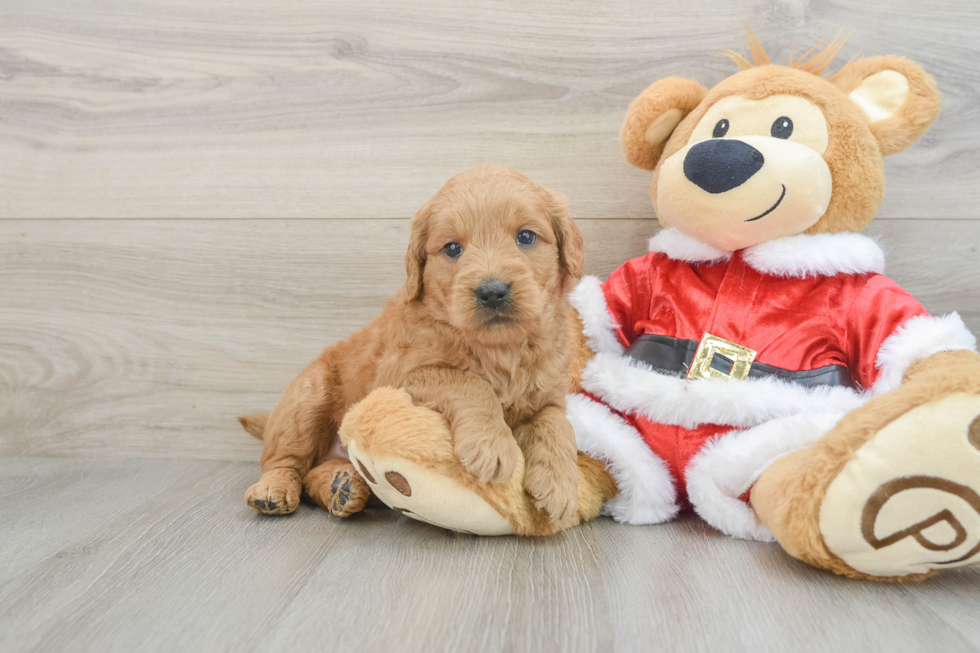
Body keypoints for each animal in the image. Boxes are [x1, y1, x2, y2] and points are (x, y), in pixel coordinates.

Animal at [241, 164, 584, 524]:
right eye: (452, 248)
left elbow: (557, 423)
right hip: (306, 397)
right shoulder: (399, 376)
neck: (499, 347)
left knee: (314, 474)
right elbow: (468, 382)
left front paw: (561, 486)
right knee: (286, 459)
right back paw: (273, 489)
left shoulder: (549, 394)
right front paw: (492, 445)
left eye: (526, 237)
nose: (492, 292)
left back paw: (342, 487)